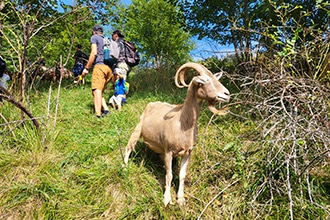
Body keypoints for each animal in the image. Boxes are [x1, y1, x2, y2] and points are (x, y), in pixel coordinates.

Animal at [124, 62, 229, 206]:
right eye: (205, 80)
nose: (227, 94)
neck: (182, 124)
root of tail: (151, 103)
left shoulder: (188, 152)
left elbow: (182, 175)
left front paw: (181, 199)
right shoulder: (168, 151)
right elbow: (169, 175)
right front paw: (167, 199)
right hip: (137, 130)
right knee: (128, 148)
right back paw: (124, 168)